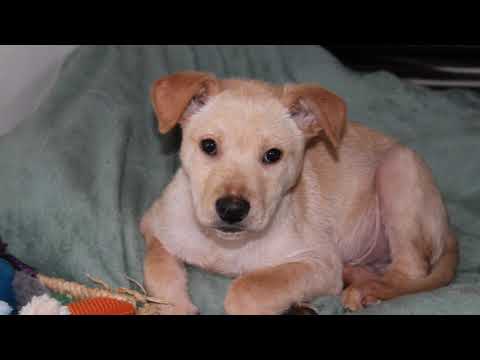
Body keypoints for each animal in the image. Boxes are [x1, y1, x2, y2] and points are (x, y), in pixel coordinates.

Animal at [140, 71, 458, 316]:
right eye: (208, 146)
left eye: (272, 155)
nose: (232, 209)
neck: (228, 247)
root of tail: (448, 227)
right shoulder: (153, 225)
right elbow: (157, 266)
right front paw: (176, 306)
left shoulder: (319, 263)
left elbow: (249, 286)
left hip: (398, 169)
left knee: (408, 272)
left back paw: (366, 291)